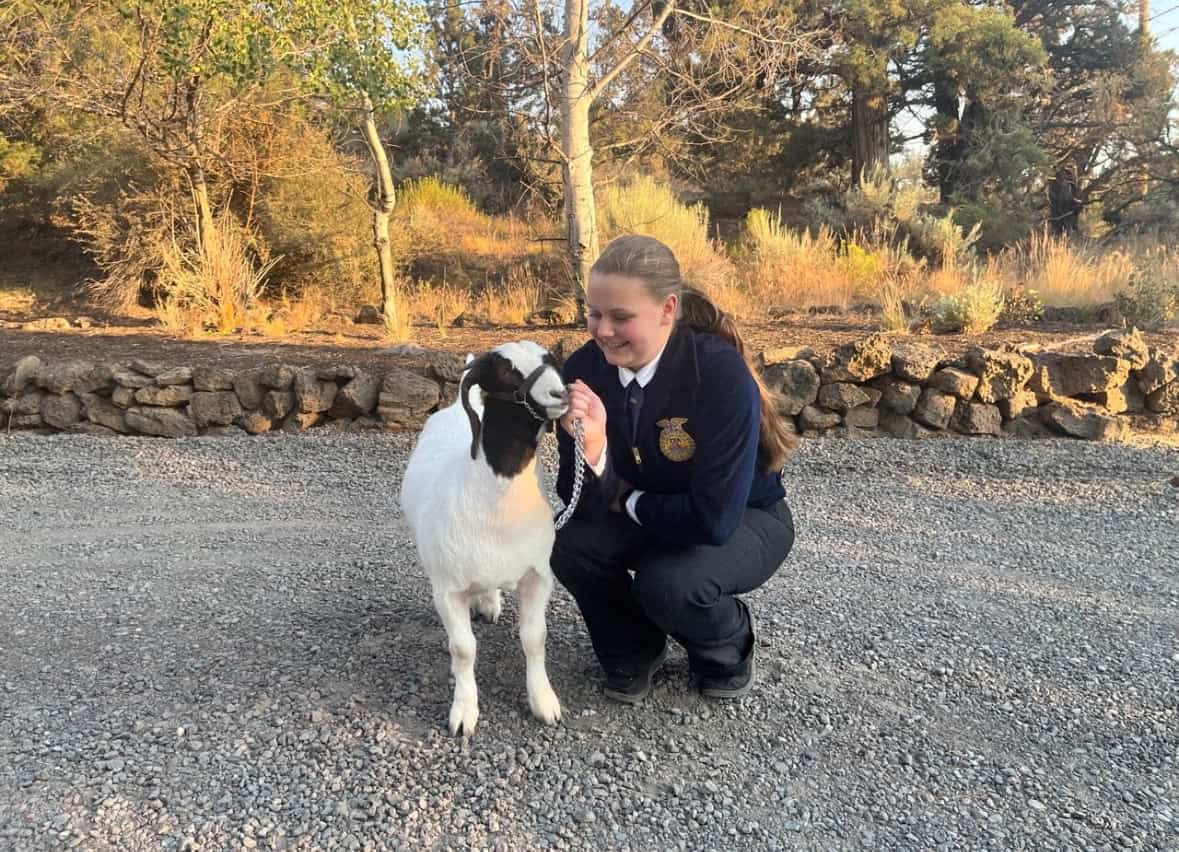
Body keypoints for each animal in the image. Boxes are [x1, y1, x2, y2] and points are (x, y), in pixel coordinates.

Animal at [399, 341, 570, 735]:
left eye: (551, 360)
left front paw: (544, 702)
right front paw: (464, 712)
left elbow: (535, 639)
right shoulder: (447, 591)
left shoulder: (539, 576)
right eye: (505, 371)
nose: (560, 394)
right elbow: (463, 649)